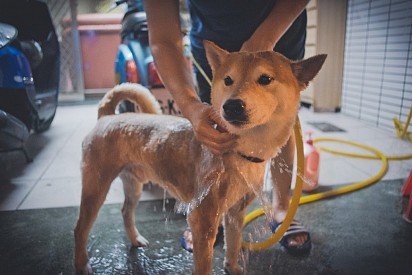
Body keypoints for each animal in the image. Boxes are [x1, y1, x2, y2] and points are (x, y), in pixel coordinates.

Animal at [73, 41, 326, 275]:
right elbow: (204, 264)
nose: (231, 106)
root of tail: (106, 117)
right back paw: (82, 264)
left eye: (265, 78)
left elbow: (233, 246)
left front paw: (233, 268)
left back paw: (135, 239)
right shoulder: (202, 220)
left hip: (134, 184)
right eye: (228, 80)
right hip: (96, 188)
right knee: (79, 229)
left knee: (126, 212)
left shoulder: (235, 212)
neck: (242, 153)